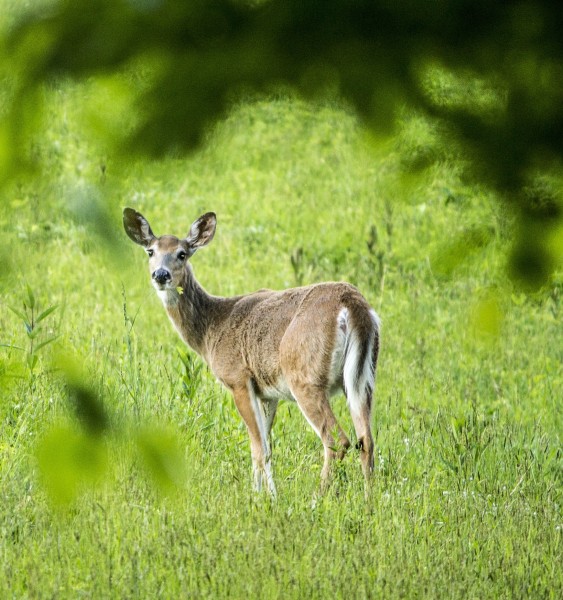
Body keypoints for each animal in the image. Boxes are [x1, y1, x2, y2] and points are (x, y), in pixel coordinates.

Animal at [122, 207, 378, 496]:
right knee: (366, 440)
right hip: (362, 379)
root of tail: (353, 304)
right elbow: (267, 447)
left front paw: (260, 498)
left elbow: (257, 448)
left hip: (305, 376)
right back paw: (369, 500)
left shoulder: (238, 379)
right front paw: (267, 495)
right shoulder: (268, 394)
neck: (211, 329)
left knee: (337, 440)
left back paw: (317, 498)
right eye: (150, 251)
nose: (161, 275)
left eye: (182, 253)